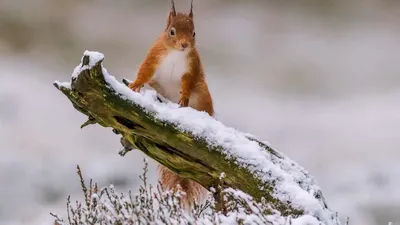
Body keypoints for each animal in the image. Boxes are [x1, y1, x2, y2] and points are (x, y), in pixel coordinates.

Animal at [130, 0, 214, 209]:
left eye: (194, 33)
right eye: (172, 31)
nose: (185, 45)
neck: (176, 53)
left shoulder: (191, 67)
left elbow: (187, 83)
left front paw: (183, 98)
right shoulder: (154, 56)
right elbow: (145, 71)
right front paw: (135, 84)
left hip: (202, 95)